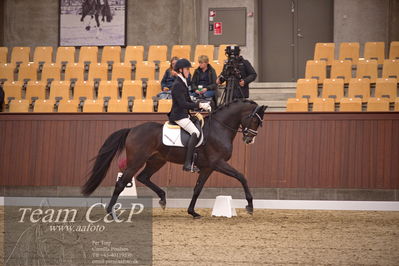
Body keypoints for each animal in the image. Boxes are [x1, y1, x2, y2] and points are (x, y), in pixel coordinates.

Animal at [82, 100, 268, 218]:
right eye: (254, 120)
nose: (249, 139)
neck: (219, 128)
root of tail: (132, 129)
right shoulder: (218, 163)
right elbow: (241, 177)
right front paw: (250, 206)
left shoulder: (208, 167)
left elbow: (197, 189)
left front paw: (192, 212)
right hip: (137, 161)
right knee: (122, 182)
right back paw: (111, 212)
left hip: (157, 160)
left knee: (143, 177)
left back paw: (163, 199)